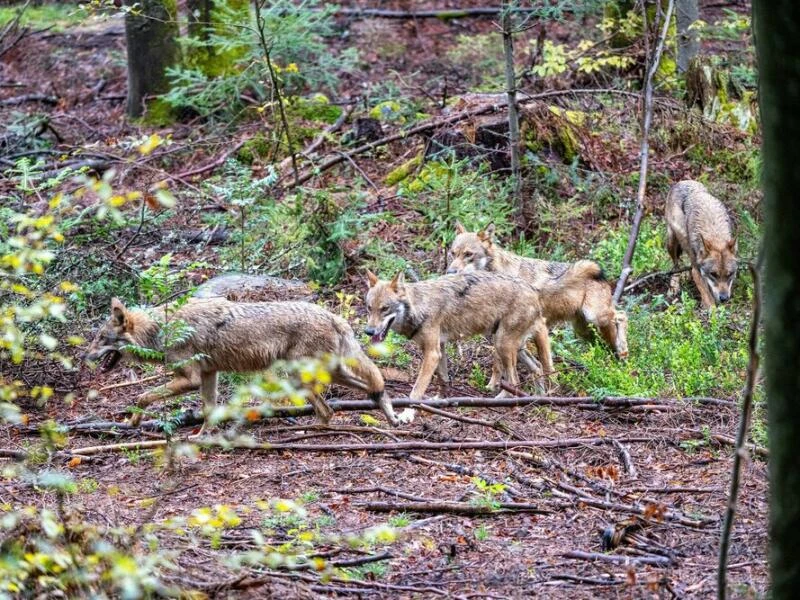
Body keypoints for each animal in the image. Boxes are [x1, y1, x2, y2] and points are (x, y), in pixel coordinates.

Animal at [86, 298, 406, 434]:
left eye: (101, 339)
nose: (83, 357)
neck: (161, 330)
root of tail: (334, 317)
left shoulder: (190, 379)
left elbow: (142, 396)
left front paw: (133, 421)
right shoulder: (209, 375)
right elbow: (209, 412)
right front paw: (202, 438)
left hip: (299, 378)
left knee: (328, 411)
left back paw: (309, 433)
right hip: (329, 373)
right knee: (374, 387)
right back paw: (391, 418)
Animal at [446, 223, 628, 358]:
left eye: (468, 254)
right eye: (453, 253)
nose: (450, 272)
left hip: (596, 317)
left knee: (622, 316)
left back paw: (623, 350)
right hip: (583, 329)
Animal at [664, 180, 736, 308]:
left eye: (730, 274)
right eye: (713, 274)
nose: (724, 298)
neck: (714, 231)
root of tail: (682, 181)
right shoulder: (696, 269)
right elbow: (707, 296)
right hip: (671, 241)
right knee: (676, 265)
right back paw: (674, 287)